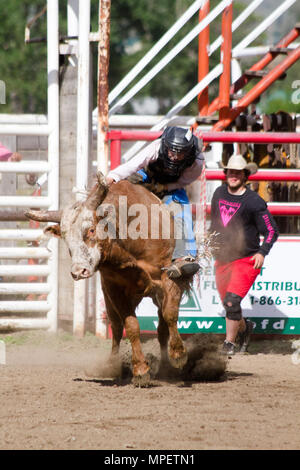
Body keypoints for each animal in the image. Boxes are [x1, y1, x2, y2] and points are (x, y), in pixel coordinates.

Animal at [25, 173, 190, 386]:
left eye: (91, 230)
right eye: (65, 237)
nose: (78, 271)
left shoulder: (167, 276)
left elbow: (170, 314)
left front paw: (178, 354)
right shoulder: (114, 289)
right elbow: (131, 326)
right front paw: (140, 370)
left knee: (162, 326)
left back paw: (166, 366)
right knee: (117, 328)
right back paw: (113, 364)